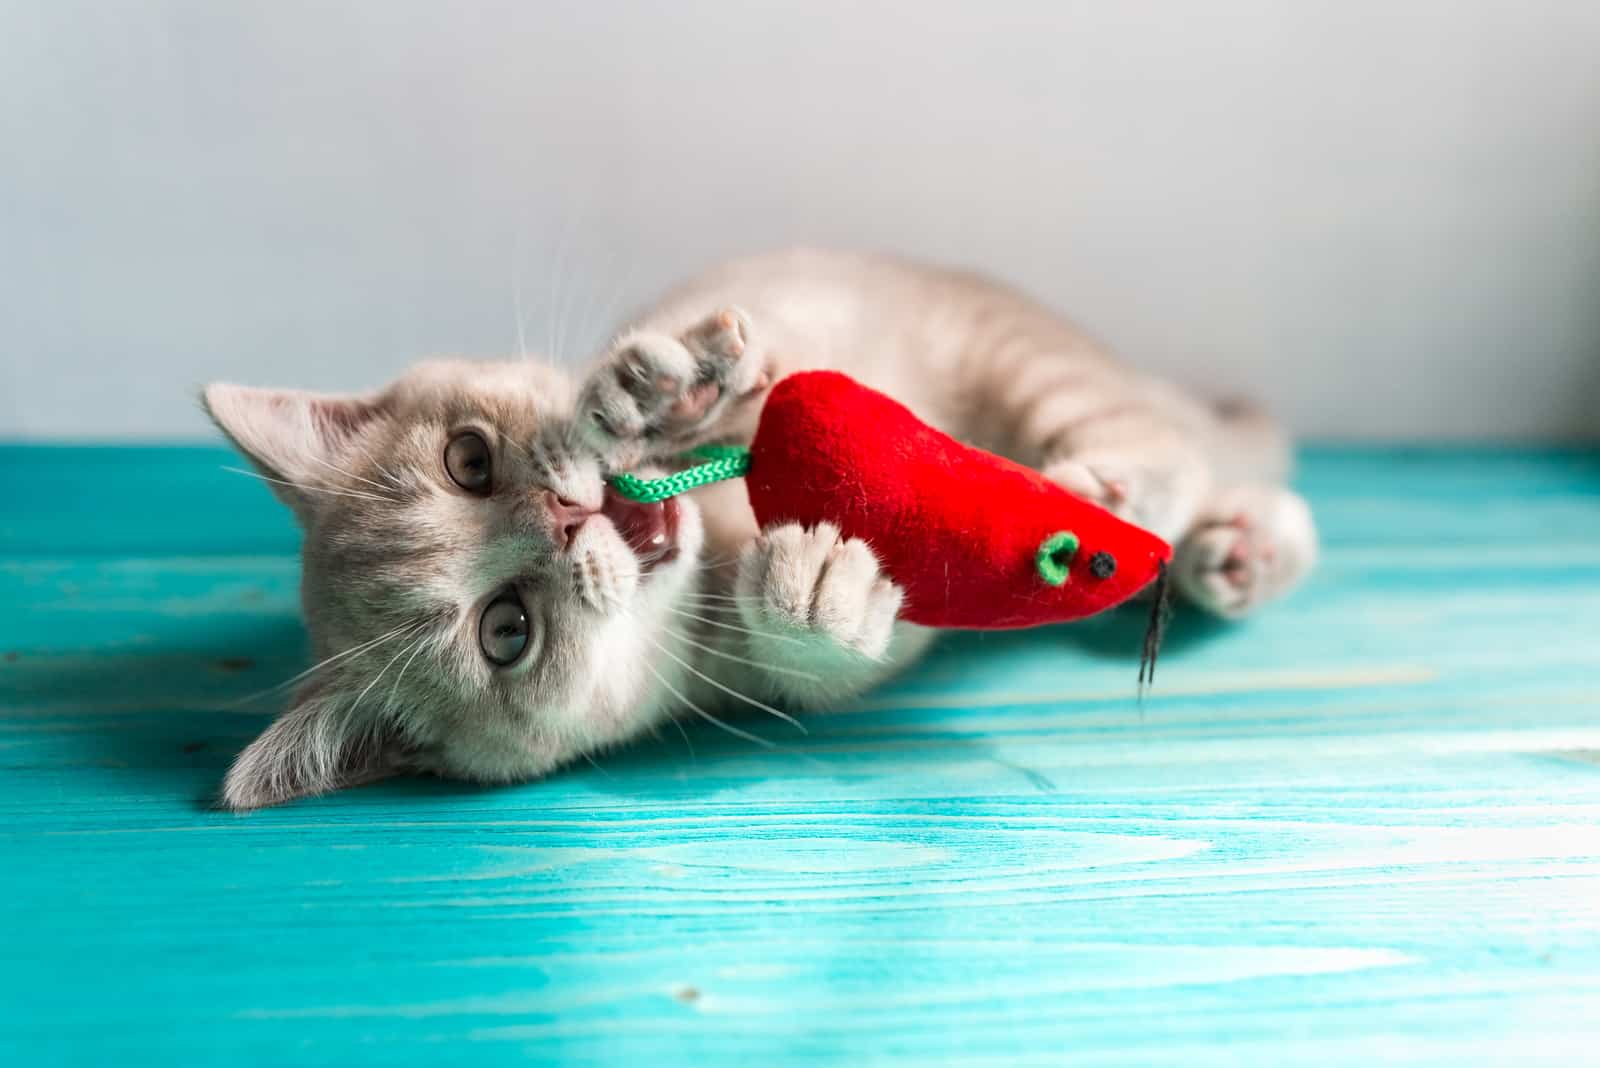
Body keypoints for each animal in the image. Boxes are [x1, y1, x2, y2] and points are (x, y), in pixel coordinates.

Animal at [206, 247, 1318, 808]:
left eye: (468, 462)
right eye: (506, 631)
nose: (567, 516)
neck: (721, 528)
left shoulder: (790, 326)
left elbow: (761, 363)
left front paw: (657, 388)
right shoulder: (797, 675)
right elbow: (828, 661)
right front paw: (818, 591)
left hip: (1022, 358)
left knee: (1167, 437)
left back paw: (1169, 509)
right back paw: (1230, 545)